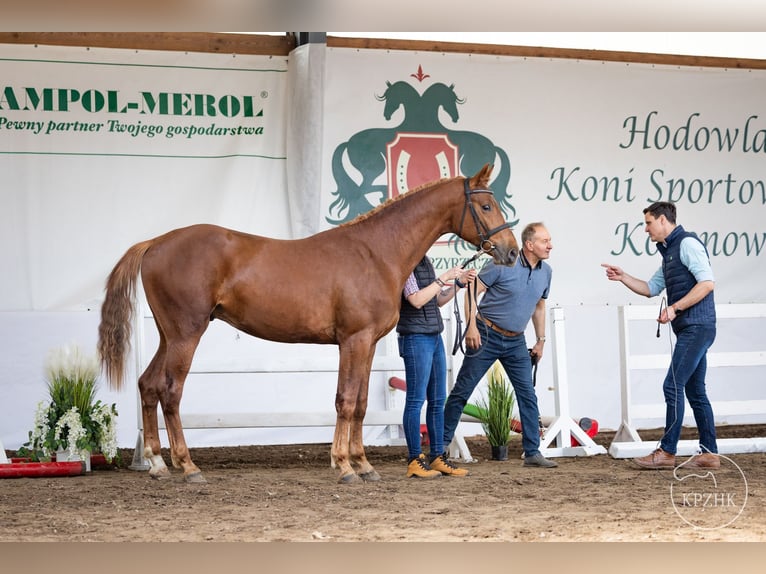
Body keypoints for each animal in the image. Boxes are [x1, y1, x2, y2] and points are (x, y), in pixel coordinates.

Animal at [94, 163, 516, 486]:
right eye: (485, 205)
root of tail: (155, 243)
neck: (375, 251)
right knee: (170, 391)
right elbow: (345, 400)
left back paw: (157, 464)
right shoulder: (353, 340)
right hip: (186, 334)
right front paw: (344, 466)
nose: (511, 251)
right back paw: (187, 466)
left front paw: (363, 464)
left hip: (169, 335)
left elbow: (361, 403)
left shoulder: (368, 343)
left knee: (148, 385)